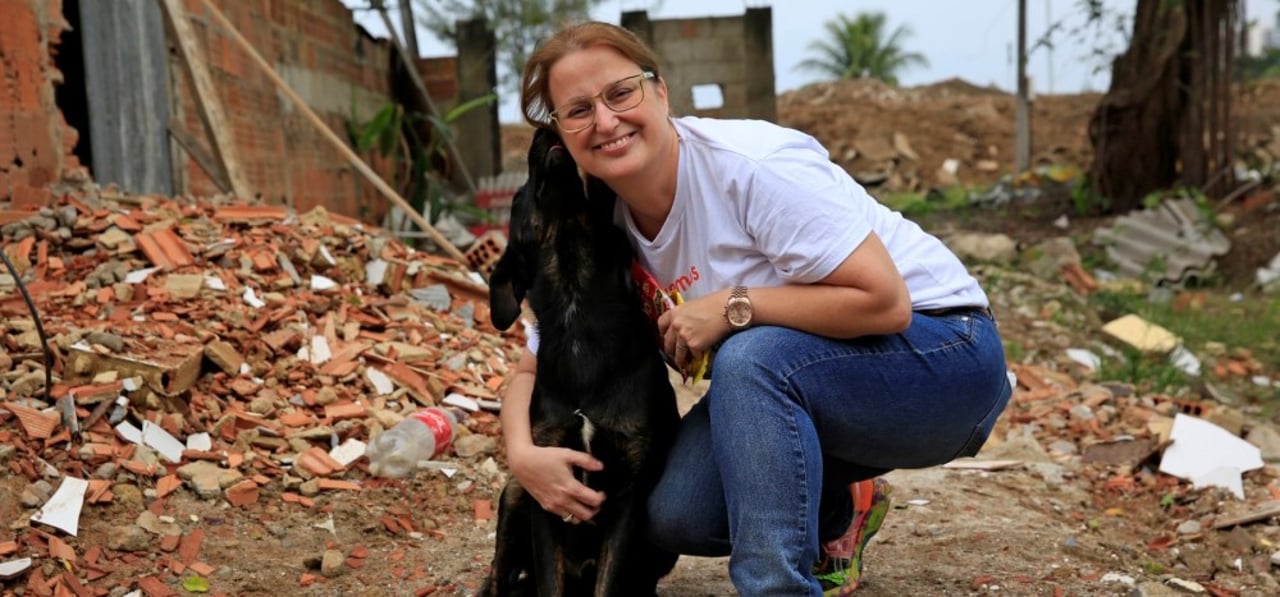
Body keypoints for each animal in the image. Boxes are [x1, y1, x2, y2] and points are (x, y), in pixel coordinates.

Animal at [481, 128, 680, 594]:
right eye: (519, 194)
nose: (546, 129)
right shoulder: (545, 484)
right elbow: (549, 580)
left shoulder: (628, 494)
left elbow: (609, 580)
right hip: (515, 492)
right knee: (498, 576)